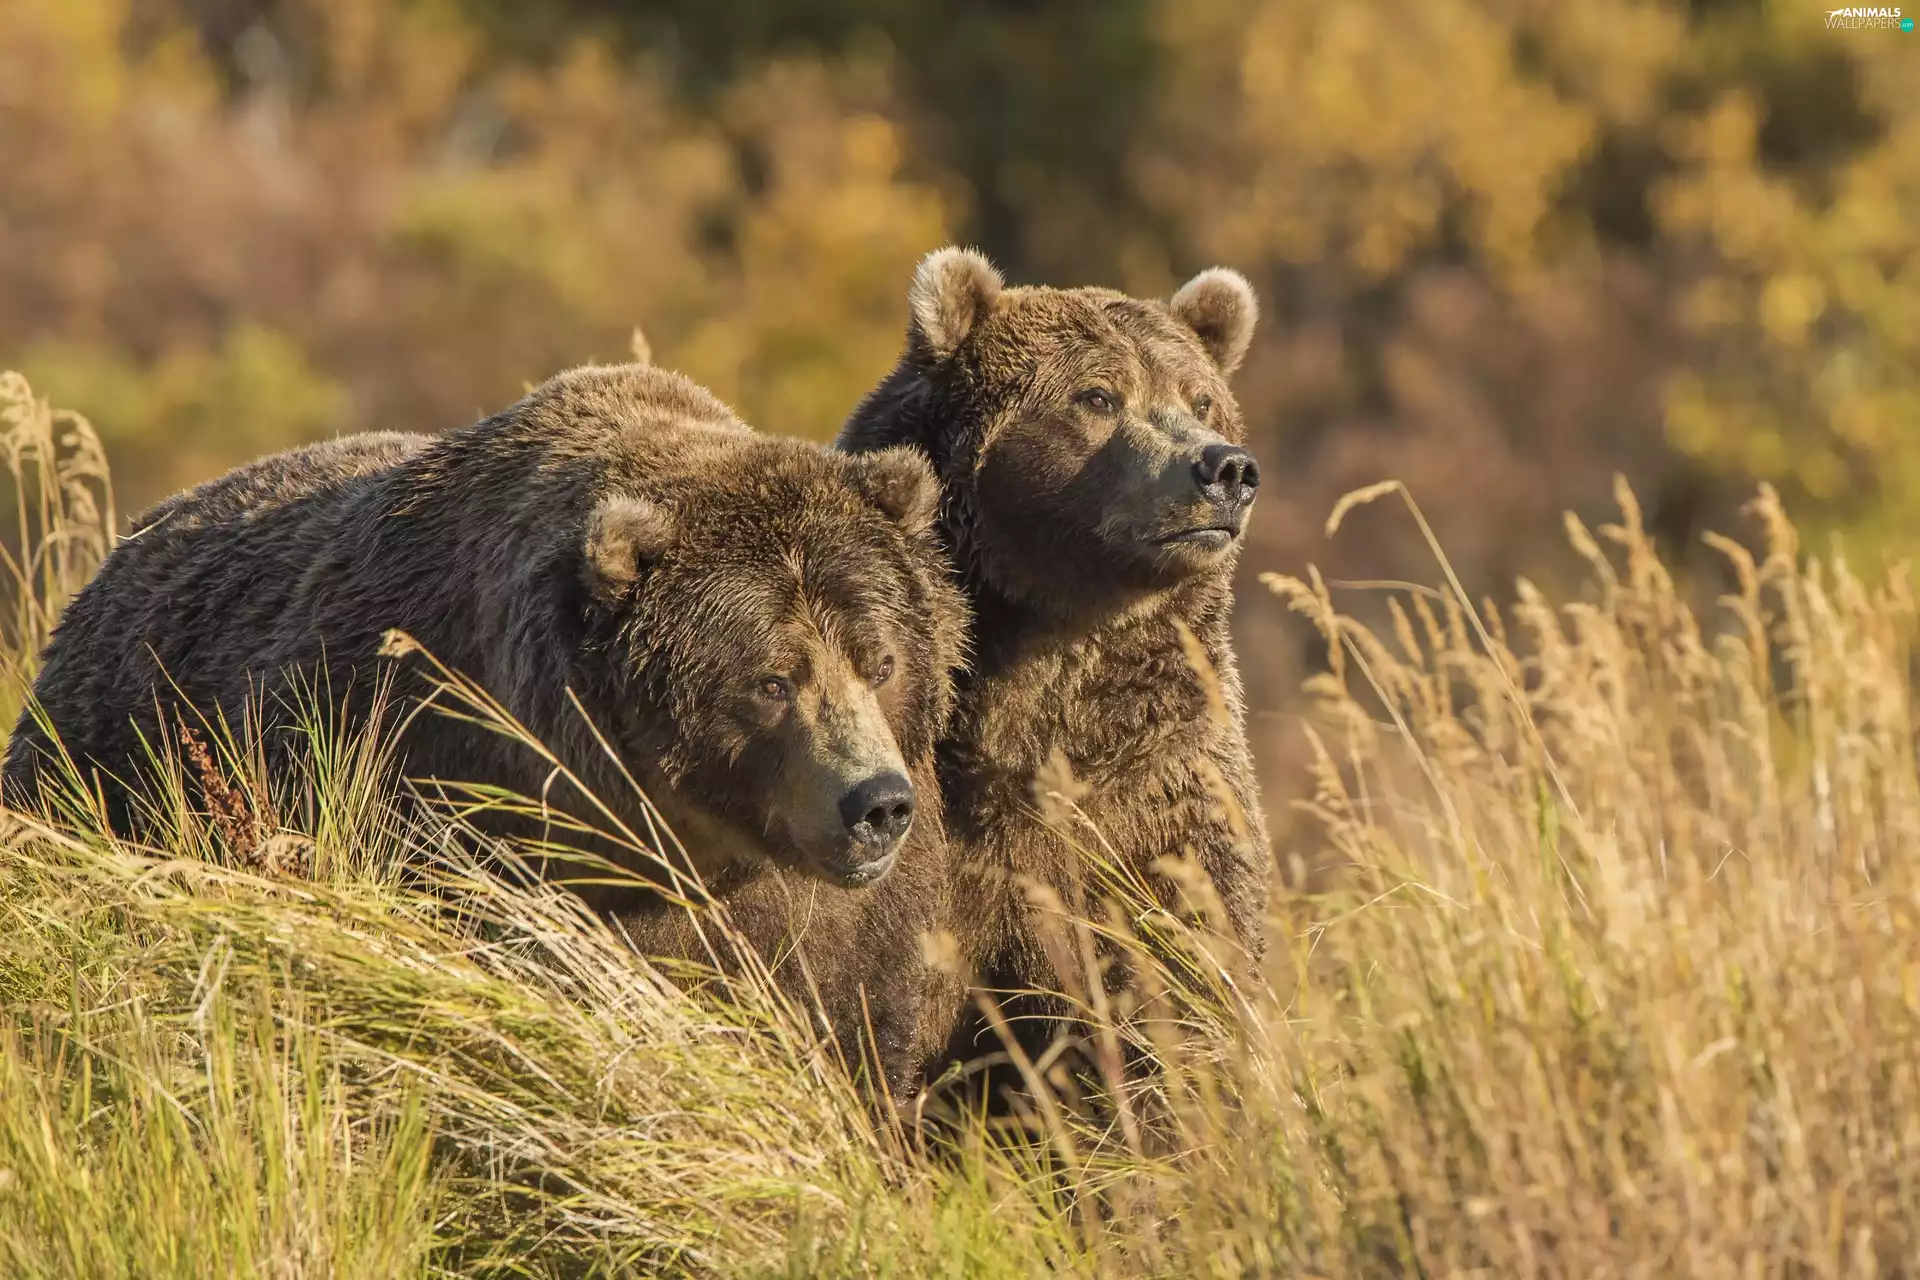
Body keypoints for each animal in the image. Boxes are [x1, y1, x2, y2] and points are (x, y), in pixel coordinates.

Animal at [4, 361, 969, 1096]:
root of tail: (123, 548)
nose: (874, 804)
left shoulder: (858, 919)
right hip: (104, 774)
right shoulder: (444, 805)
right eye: (771, 679)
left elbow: (860, 1028)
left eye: (880, 660)